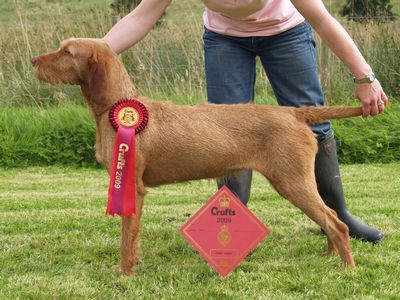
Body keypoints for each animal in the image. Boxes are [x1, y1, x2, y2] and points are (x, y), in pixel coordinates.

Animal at [31, 38, 358, 276]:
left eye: (66, 51)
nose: (33, 61)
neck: (116, 107)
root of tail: (293, 113)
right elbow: (132, 238)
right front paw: (129, 267)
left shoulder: (133, 187)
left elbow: (127, 237)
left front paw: (124, 273)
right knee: (329, 216)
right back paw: (330, 255)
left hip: (292, 182)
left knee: (336, 222)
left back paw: (347, 267)